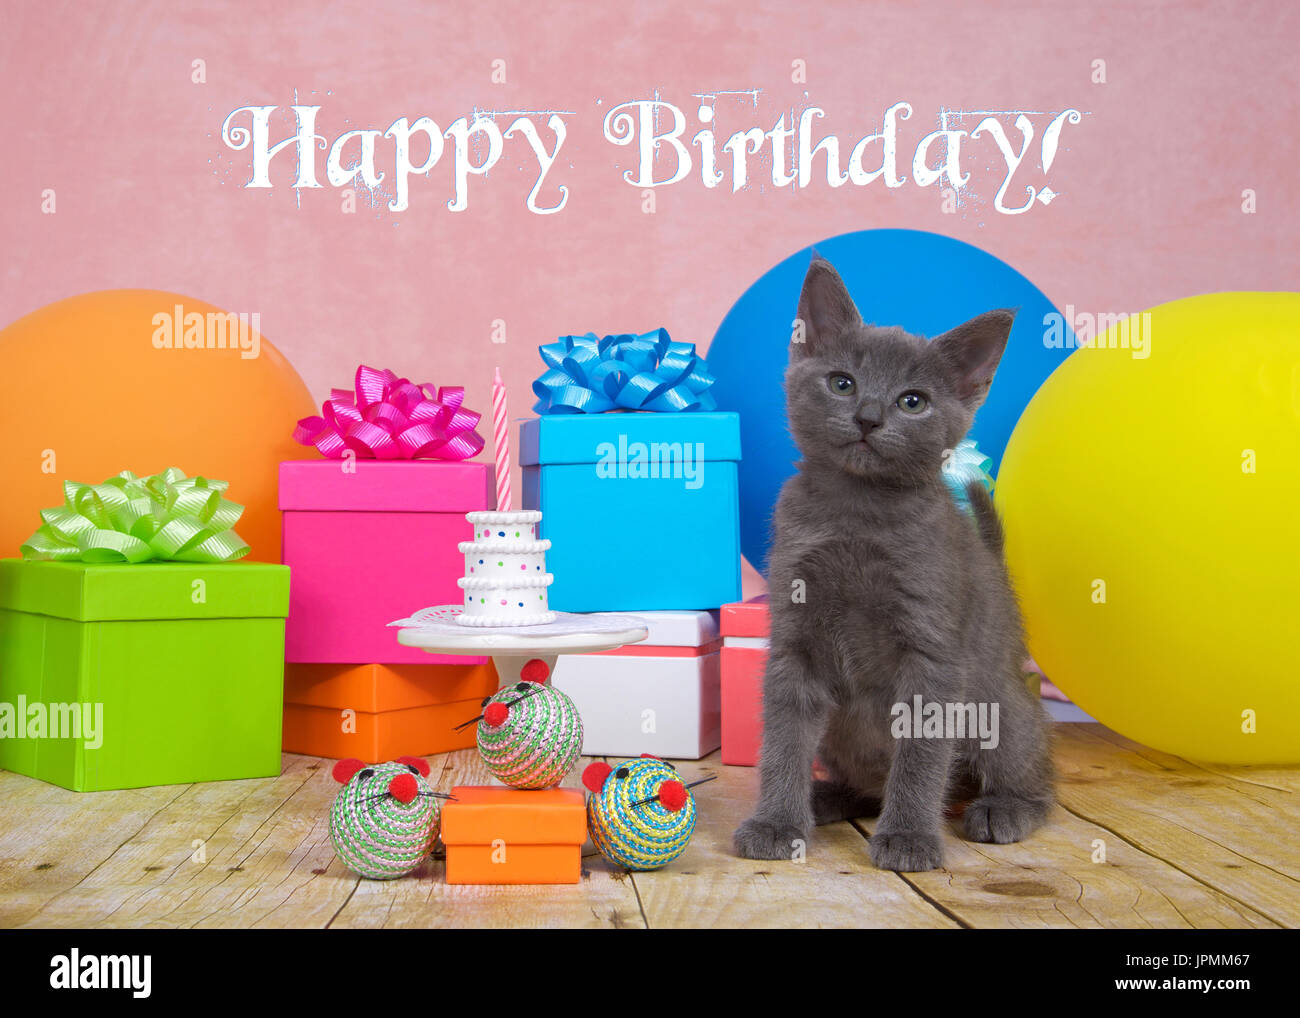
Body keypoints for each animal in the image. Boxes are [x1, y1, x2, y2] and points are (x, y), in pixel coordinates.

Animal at [738, 258, 1050, 873]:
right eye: (842, 383)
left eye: (913, 402)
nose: (868, 417)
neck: (857, 514)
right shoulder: (795, 638)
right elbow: (784, 736)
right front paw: (777, 821)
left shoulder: (932, 653)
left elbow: (923, 751)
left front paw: (908, 836)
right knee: (864, 780)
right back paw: (828, 797)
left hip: (1000, 705)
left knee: (1036, 771)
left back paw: (1005, 808)